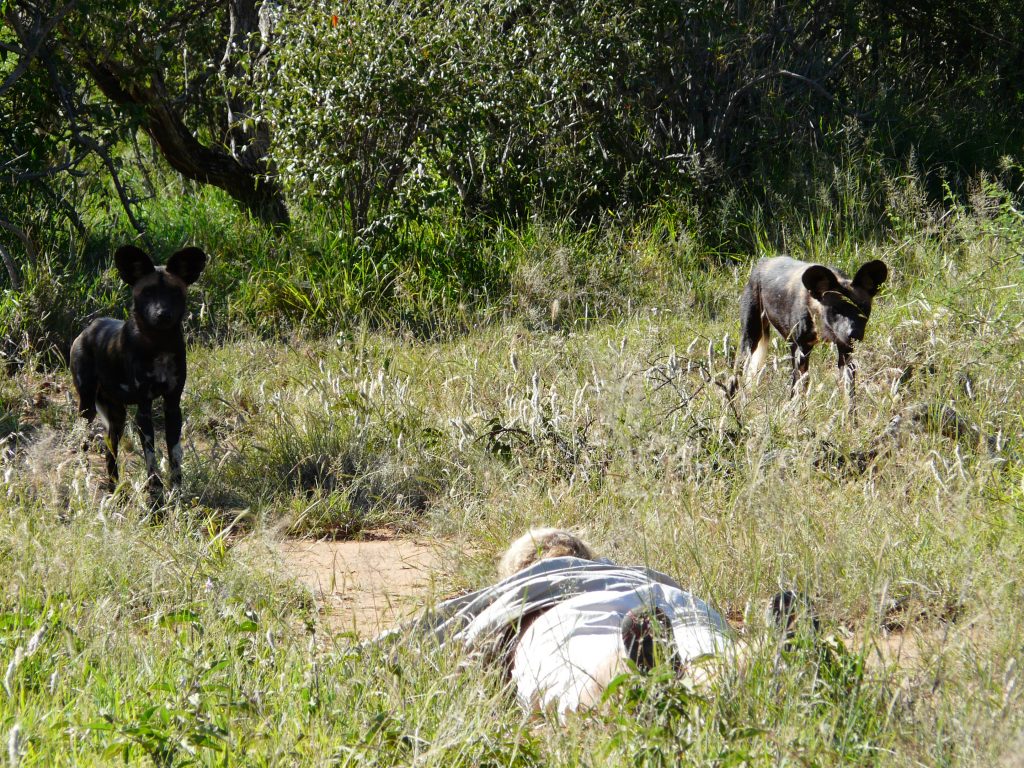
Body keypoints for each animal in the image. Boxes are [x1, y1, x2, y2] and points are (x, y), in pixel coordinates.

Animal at [70, 244, 205, 499]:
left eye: (174, 292)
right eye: (148, 293)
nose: (162, 314)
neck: (159, 344)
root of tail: (88, 329)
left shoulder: (172, 406)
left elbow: (174, 454)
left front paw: (176, 491)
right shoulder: (144, 407)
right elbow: (150, 456)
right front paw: (155, 493)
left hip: (117, 418)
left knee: (110, 452)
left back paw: (115, 490)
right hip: (87, 409)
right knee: (82, 445)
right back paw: (84, 480)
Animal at [737, 259, 888, 403]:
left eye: (862, 309)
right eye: (835, 310)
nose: (853, 333)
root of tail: (763, 262)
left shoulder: (845, 352)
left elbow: (850, 396)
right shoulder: (803, 350)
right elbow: (801, 390)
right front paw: (798, 412)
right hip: (751, 339)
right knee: (739, 369)